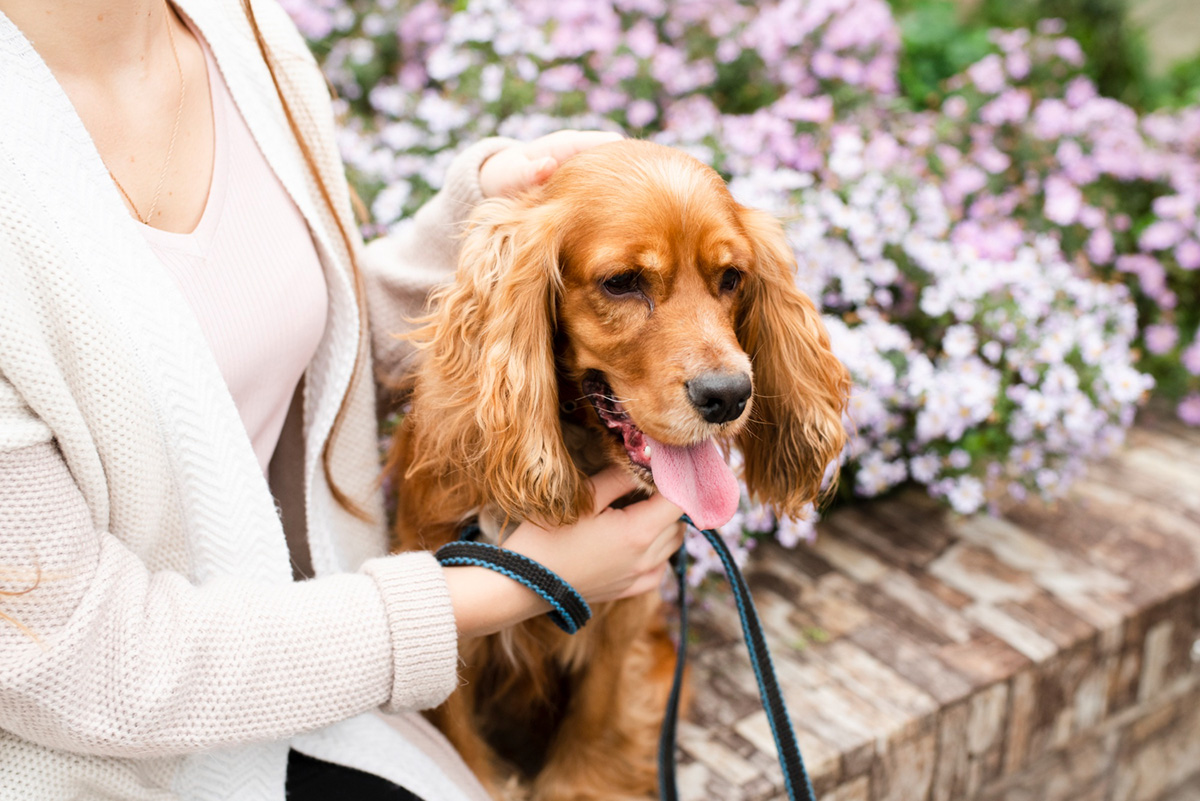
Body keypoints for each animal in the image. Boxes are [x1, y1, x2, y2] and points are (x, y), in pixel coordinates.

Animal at [388, 140, 849, 796]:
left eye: (731, 278)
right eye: (622, 283)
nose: (730, 395)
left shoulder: (624, 619)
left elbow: (597, 720)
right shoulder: (453, 627)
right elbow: (460, 744)